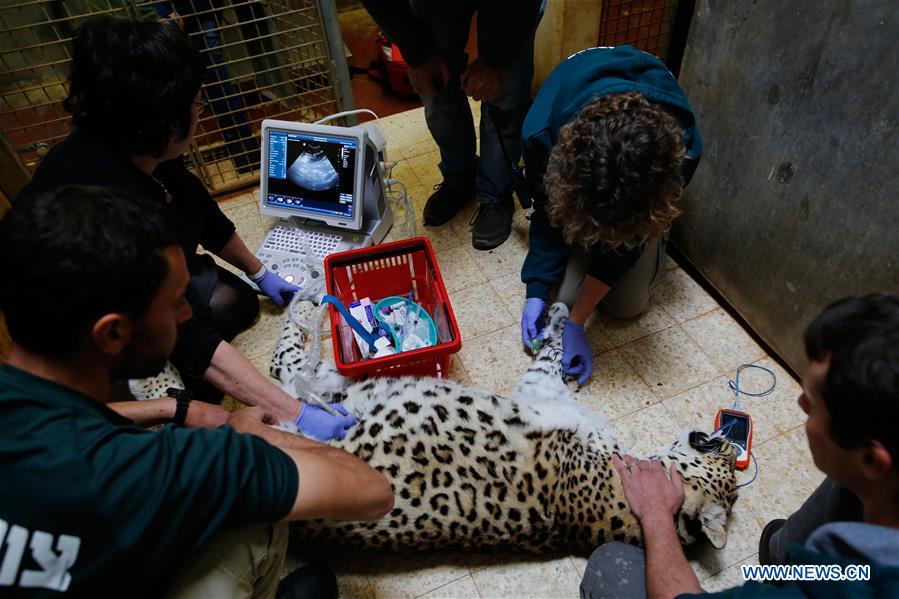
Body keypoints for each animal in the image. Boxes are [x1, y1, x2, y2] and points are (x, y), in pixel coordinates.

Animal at [274, 298, 740, 556]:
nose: (728, 438)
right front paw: (557, 314)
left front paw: (558, 316)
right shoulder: (544, 389)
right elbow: (554, 350)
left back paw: (303, 303)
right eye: (724, 457)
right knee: (289, 365)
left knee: (286, 367)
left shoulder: (541, 389)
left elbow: (551, 352)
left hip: (317, 404)